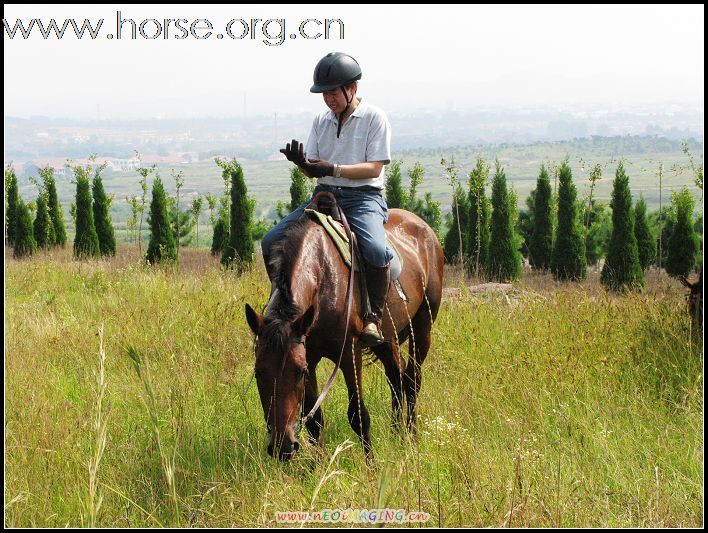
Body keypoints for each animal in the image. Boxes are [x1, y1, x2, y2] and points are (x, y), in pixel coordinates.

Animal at [245, 208, 442, 458]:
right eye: (259, 373)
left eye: (298, 373)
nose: (283, 447)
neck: (323, 280)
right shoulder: (310, 356)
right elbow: (314, 419)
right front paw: (316, 465)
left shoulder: (349, 355)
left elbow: (359, 416)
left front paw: (371, 464)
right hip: (387, 338)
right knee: (395, 378)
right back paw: (396, 434)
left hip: (423, 325)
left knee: (411, 380)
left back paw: (412, 437)